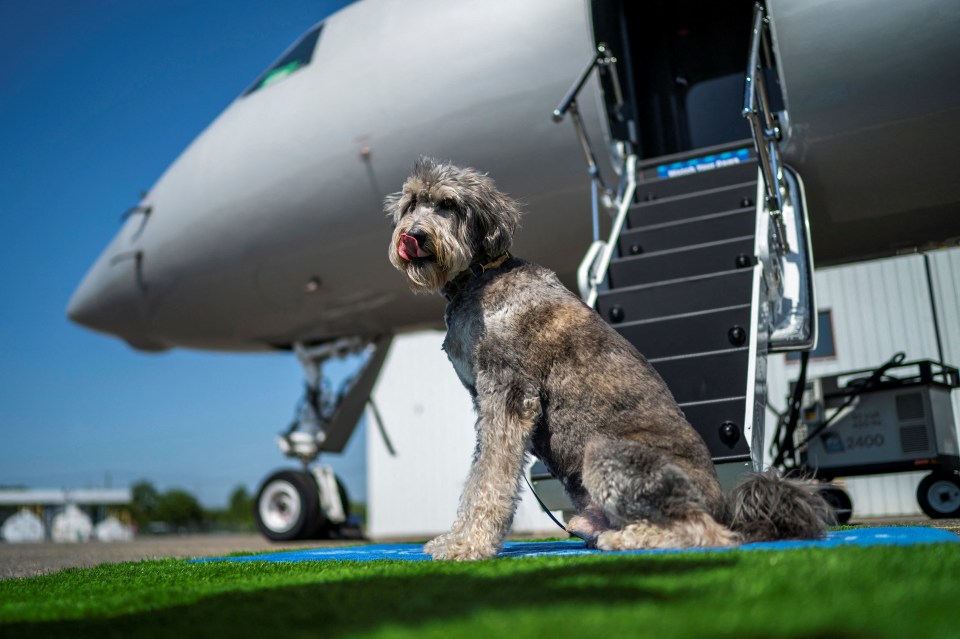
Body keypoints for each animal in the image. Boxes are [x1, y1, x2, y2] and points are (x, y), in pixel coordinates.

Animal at [386, 156, 828, 560]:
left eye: (449, 204)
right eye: (412, 204)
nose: (414, 235)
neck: (480, 276)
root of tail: (724, 505)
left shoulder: (508, 395)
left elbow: (490, 478)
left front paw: (469, 545)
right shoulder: (486, 400)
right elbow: (480, 473)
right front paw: (456, 538)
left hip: (605, 453)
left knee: (705, 532)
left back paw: (627, 539)